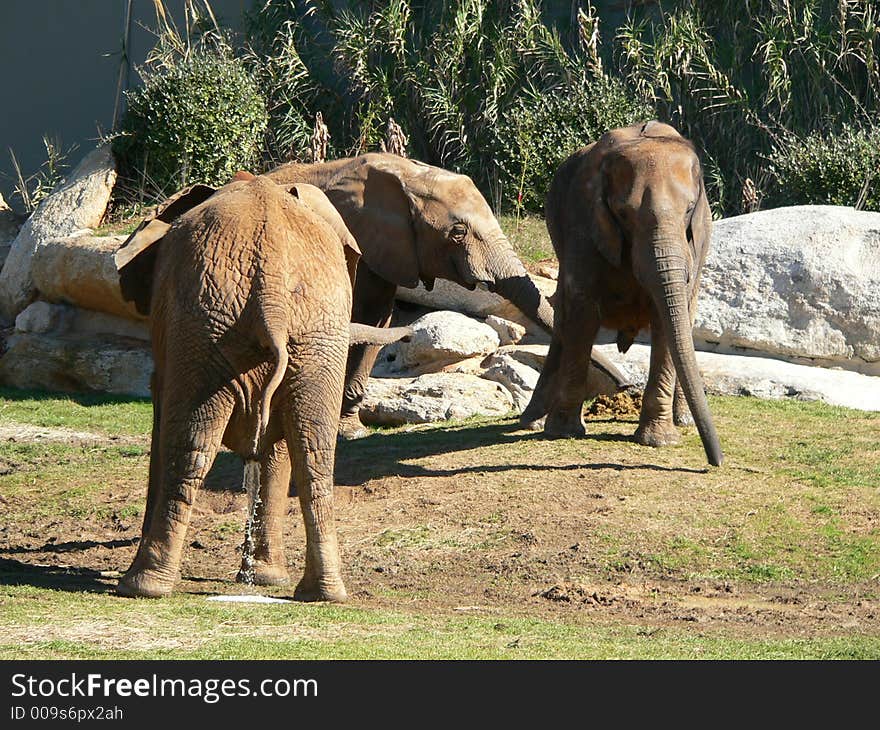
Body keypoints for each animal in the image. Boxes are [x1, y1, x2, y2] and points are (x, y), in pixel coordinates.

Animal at [111, 175, 408, 596]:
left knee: (191, 446)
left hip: (209, 326)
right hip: (312, 332)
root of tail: (272, 293)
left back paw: (141, 585)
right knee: (314, 453)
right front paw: (265, 578)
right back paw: (321, 593)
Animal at [264, 152, 628, 438]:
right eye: (457, 232)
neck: (408, 175)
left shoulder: (390, 250)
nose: (626, 386)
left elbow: (376, 319)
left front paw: (352, 430)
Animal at [524, 118, 720, 460]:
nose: (715, 461)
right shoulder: (584, 224)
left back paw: (684, 421)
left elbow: (667, 318)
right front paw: (563, 432)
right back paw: (533, 421)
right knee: (563, 320)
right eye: (624, 214)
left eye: (689, 210)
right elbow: (582, 315)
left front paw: (659, 441)